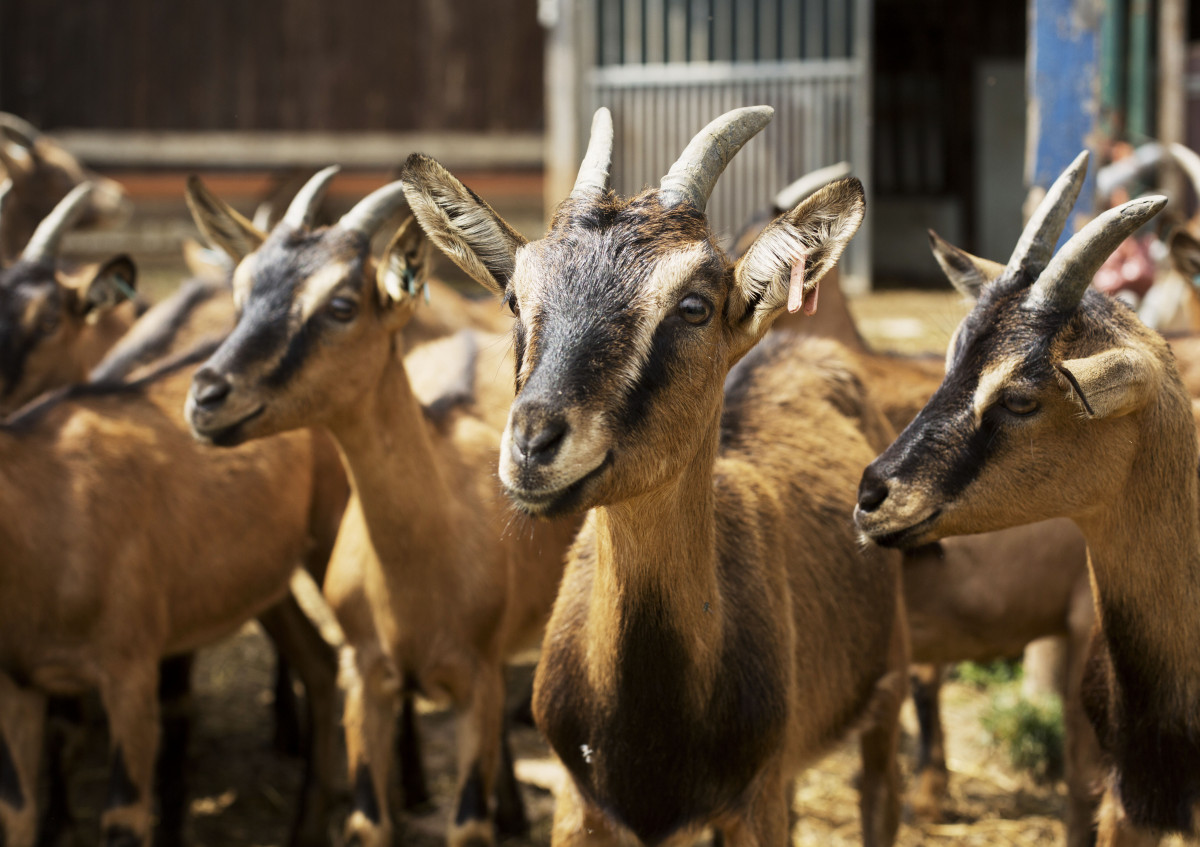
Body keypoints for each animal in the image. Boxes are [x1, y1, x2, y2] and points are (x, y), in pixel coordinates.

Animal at [182, 172, 580, 844]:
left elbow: (467, 822)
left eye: (342, 305)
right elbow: (369, 817)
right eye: (241, 294)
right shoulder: (365, 677)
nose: (207, 397)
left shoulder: (476, 682)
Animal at [398, 105, 902, 844]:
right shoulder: (580, 803)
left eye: (694, 305)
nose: (533, 443)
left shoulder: (752, 801)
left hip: (888, 683)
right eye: (515, 298)